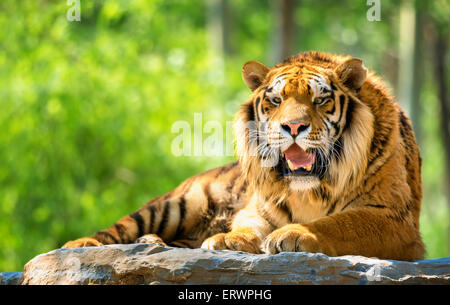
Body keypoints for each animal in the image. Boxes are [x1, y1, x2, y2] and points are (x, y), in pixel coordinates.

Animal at [62, 51, 426, 260]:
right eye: (276, 100)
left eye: (320, 100)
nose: (294, 126)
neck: (310, 189)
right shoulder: (259, 207)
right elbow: (249, 225)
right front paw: (228, 239)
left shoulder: (392, 217)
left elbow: (338, 223)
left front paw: (293, 235)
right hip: (176, 205)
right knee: (119, 228)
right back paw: (81, 246)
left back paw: (153, 242)